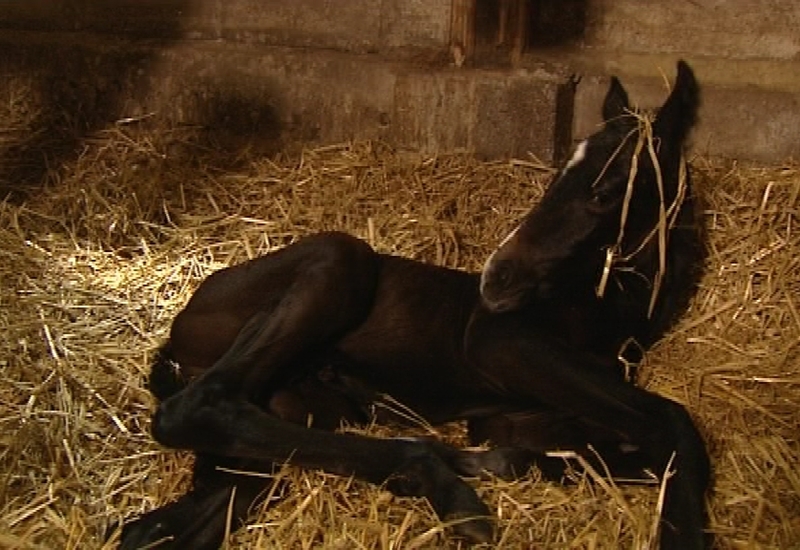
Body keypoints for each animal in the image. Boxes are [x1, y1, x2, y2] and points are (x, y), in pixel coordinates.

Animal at [119, 61, 708, 550]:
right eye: (559, 173)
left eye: (605, 192)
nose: (495, 280)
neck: (602, 311)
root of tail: (172, 336)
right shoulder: (501, 342)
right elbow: (671, 421)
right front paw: (682, 531)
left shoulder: (519, 419)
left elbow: (613, 450)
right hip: (338, 259)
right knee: (194, 407)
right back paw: (446, 487)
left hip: (283, 419)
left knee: (172, 513)